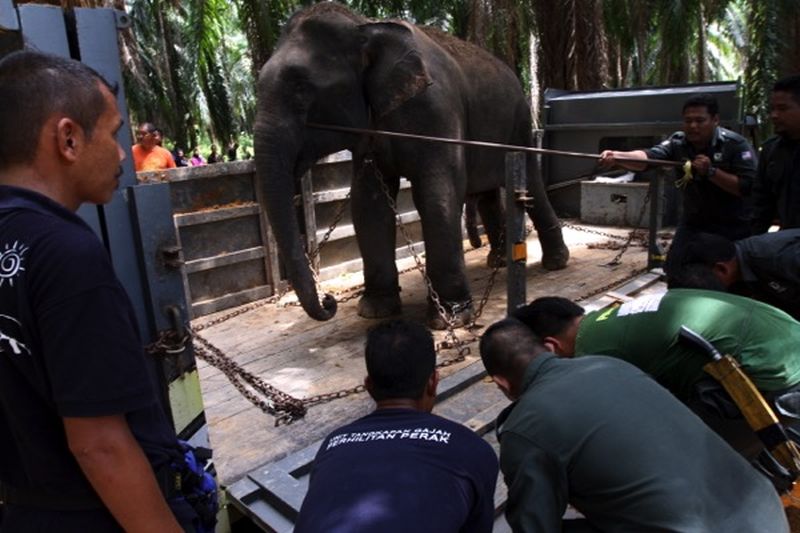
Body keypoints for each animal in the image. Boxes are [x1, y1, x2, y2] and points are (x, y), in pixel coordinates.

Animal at [256, 2, 568, 328]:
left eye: (301, 88)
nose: (329, 301)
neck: (366, 25)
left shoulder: (436, 111)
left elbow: (437, 194)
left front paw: (450, 319)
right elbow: (369, 203)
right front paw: (376, 310)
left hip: (519, 123)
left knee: (531, 181)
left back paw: (555, 263)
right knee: (488, 195)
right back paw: (499, 261)